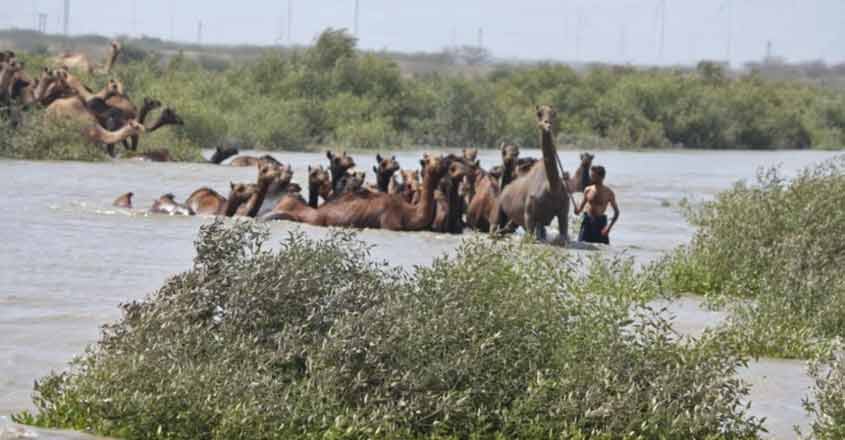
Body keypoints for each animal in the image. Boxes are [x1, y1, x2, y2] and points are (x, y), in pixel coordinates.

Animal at [491, 105, 570, 244]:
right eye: (539, 114)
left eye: (553, 114)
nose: (547, 124)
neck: (551, 187)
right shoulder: (528, 214)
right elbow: (529, 236)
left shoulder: (564, 211)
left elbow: (562, 236)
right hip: (499, 206)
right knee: (496, 229)